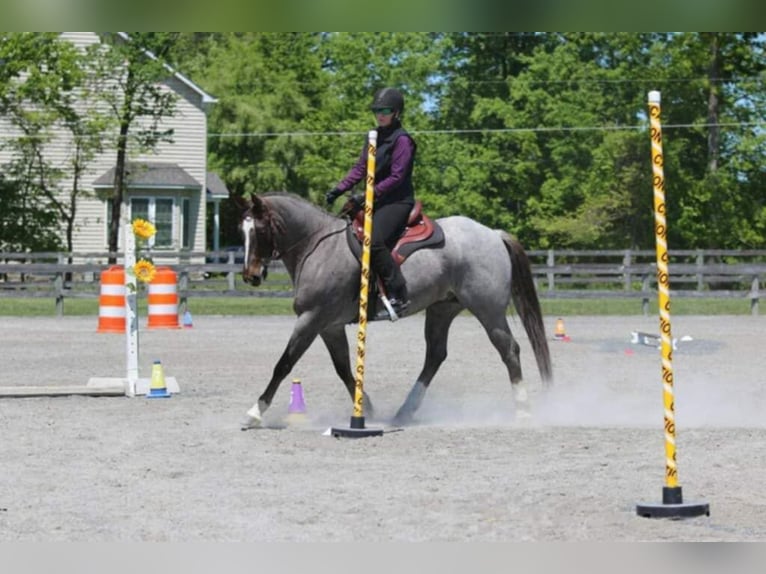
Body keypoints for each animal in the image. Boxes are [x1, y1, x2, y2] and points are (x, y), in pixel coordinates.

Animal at [234, 194, 552, 432]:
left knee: (509, 349)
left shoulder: (311, 319)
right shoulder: (328, 326)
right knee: (435, 355)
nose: (251, 275)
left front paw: (254, 412)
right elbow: (343, 368)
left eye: (259, 230)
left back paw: (523, 412)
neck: (319, 246)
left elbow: (284, 364)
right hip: (442, 309)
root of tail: (493, 234)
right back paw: (404, 412)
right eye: (242, 231)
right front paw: (367, 407)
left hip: (488, 309)